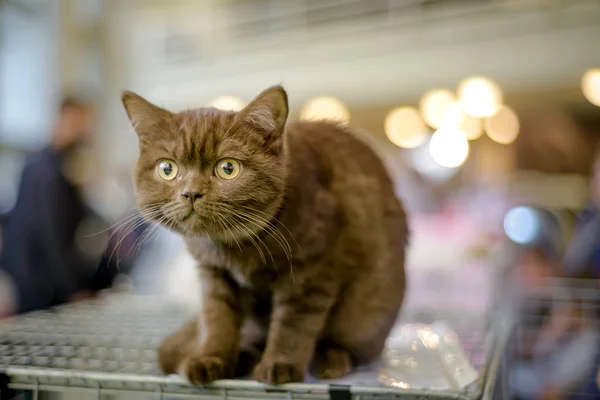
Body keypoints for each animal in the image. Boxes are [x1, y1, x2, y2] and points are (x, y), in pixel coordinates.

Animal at [121, 86, 408, 384]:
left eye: (228, 168)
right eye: (167, 169)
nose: (191, 193)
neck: (232, 245)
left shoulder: (312, 272)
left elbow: (293, 324)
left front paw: (281, 364)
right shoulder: (213, 273)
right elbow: (217, 318)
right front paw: (210, 359)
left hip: (368, 313)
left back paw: (331, 360)